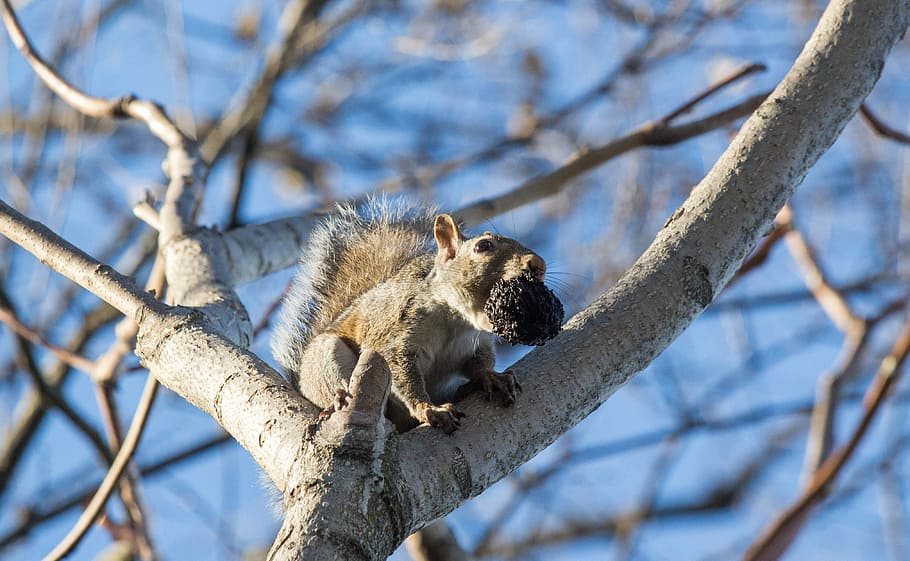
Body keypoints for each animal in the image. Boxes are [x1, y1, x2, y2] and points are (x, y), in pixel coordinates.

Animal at [271, 199, 547, 433]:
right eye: (483, 246)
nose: (538, 265)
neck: (458, 322)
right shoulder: (397, 335)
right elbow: (403, 376)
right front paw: (430, 409)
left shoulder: (478, 344)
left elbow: (479, 364)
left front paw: (491, 377)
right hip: (324, 358)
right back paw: (335, 401)